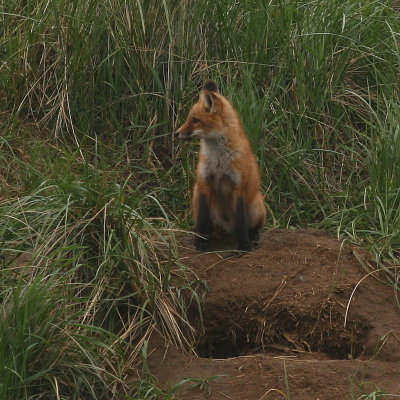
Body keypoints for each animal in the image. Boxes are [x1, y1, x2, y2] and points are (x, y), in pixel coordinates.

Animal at [177, 79, 266, 252]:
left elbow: (241, 223)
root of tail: (226, 228)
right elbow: (202, 221)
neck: (218, 161)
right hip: (196, 194)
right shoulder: (204, 183)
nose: (176, 133)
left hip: (256, 205)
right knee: (207, 225)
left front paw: (243, 245)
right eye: (189, 118)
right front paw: (201, 242)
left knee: (252, 226)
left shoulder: (238, 186)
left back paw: (253, 236)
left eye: (195, 120)